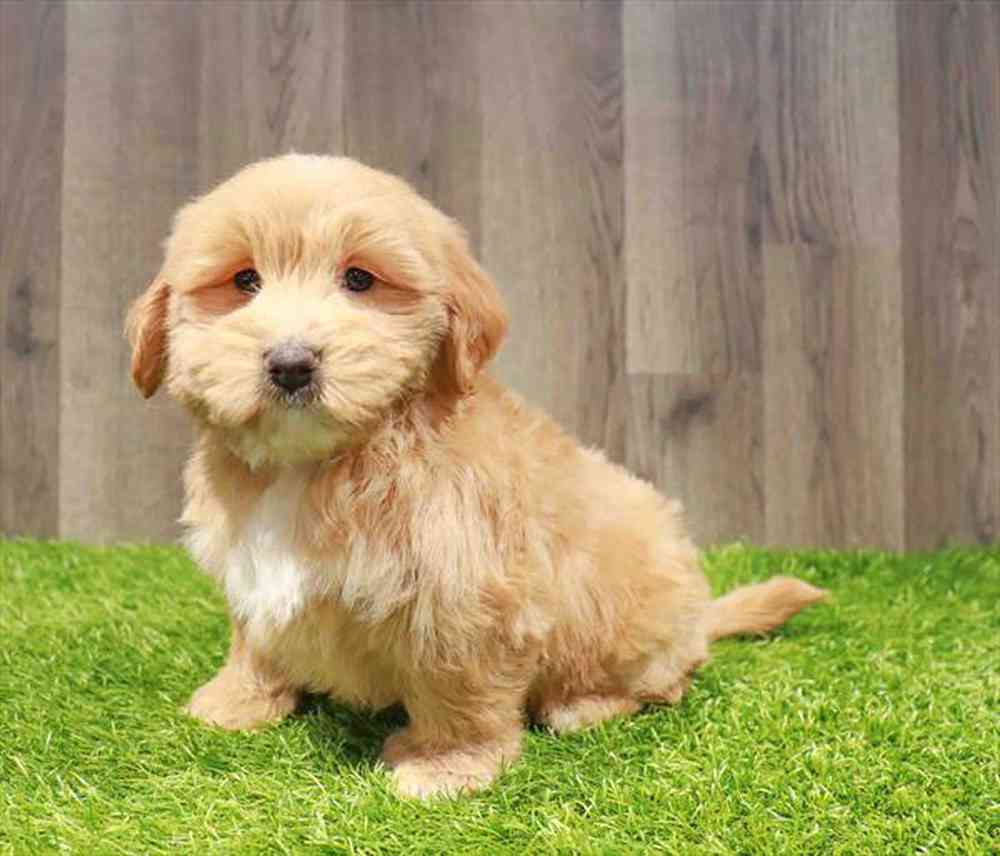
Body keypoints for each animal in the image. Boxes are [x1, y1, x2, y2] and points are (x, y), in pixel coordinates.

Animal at [126, 154, 825, 798]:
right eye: (244, 281)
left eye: (359, 280)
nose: (292, 363)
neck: (320, 462)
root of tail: (700, 615)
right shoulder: (250, 567)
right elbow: (255, 636)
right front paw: (236, 701)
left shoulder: (464, 595)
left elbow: (457, 686)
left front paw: (446, 766)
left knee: (667, 681)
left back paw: (584, 704)